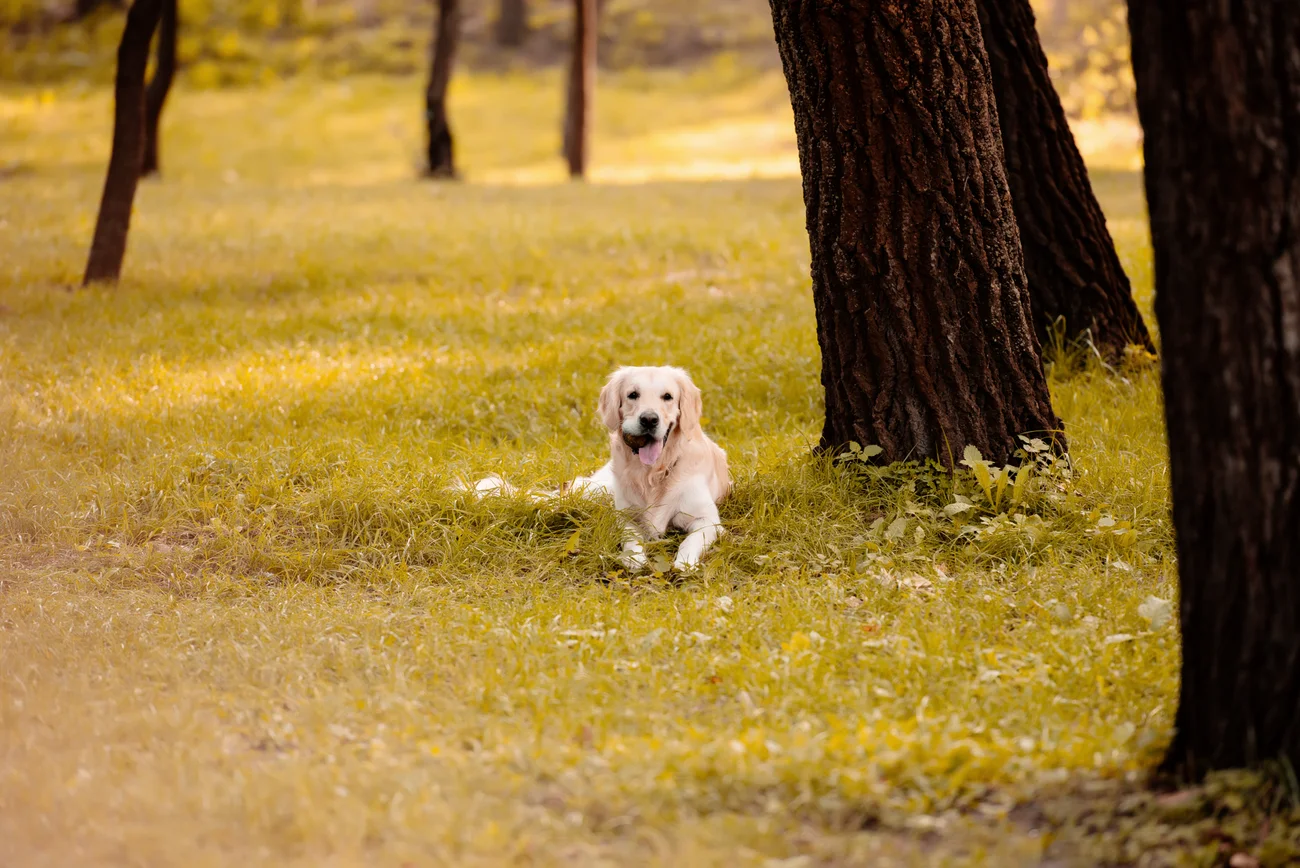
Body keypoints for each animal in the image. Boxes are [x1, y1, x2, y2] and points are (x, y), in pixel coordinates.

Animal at [457, 363, 733, 569]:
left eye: (668, 397)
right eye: (632, 395)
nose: (649, 419)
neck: (653, 474)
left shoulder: (707, 519)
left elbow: (690, 541)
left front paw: (684, 562)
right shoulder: (625, 515)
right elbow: (631, 538)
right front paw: (634, 558)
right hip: (597, 491)